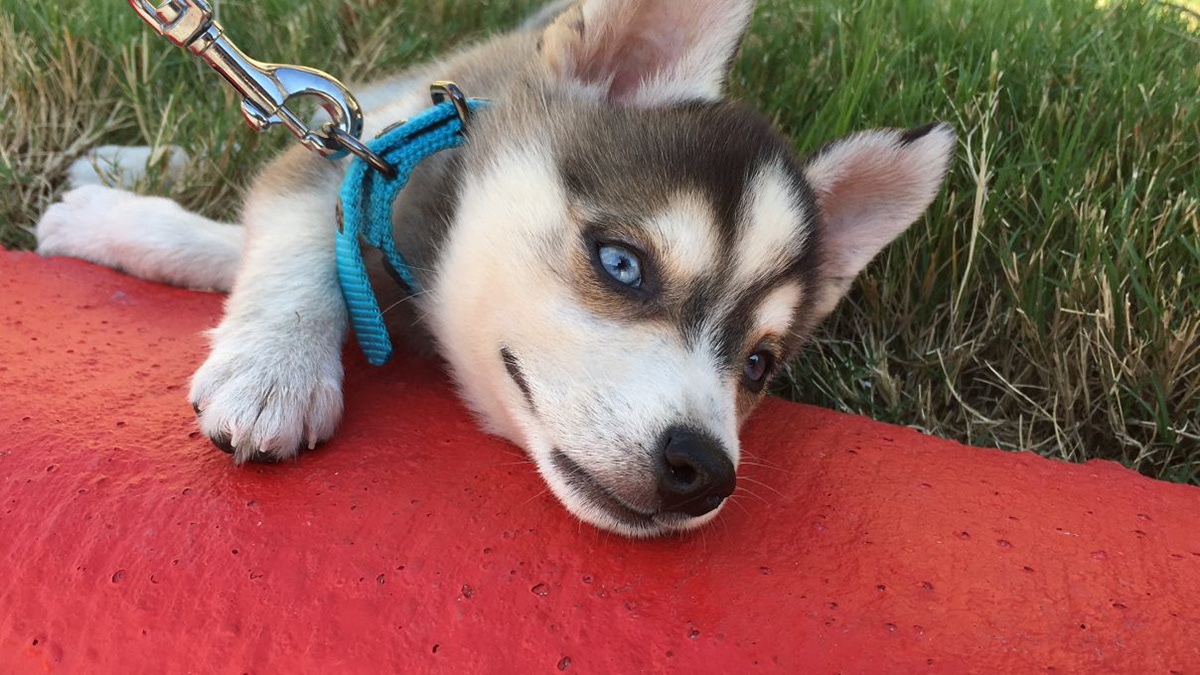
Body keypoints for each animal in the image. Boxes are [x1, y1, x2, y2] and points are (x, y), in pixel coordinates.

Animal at [35, 0, 955, 535]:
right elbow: (295, 237)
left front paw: (113, 222)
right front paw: (272, 368)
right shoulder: (355, 162)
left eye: (760, 365)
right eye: (621, 264)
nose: (704, 469)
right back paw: (136, 159)